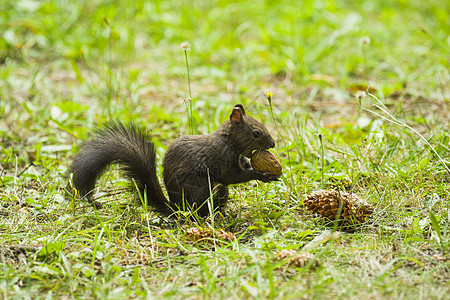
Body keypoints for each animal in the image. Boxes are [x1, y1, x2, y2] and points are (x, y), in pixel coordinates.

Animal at [71, 104, 280, 217]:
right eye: (256, 133)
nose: (273, 144)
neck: (228, 140)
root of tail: (177, 208)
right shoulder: (220, 158)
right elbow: (232, 176)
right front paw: (263, 175)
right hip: (202, 190)